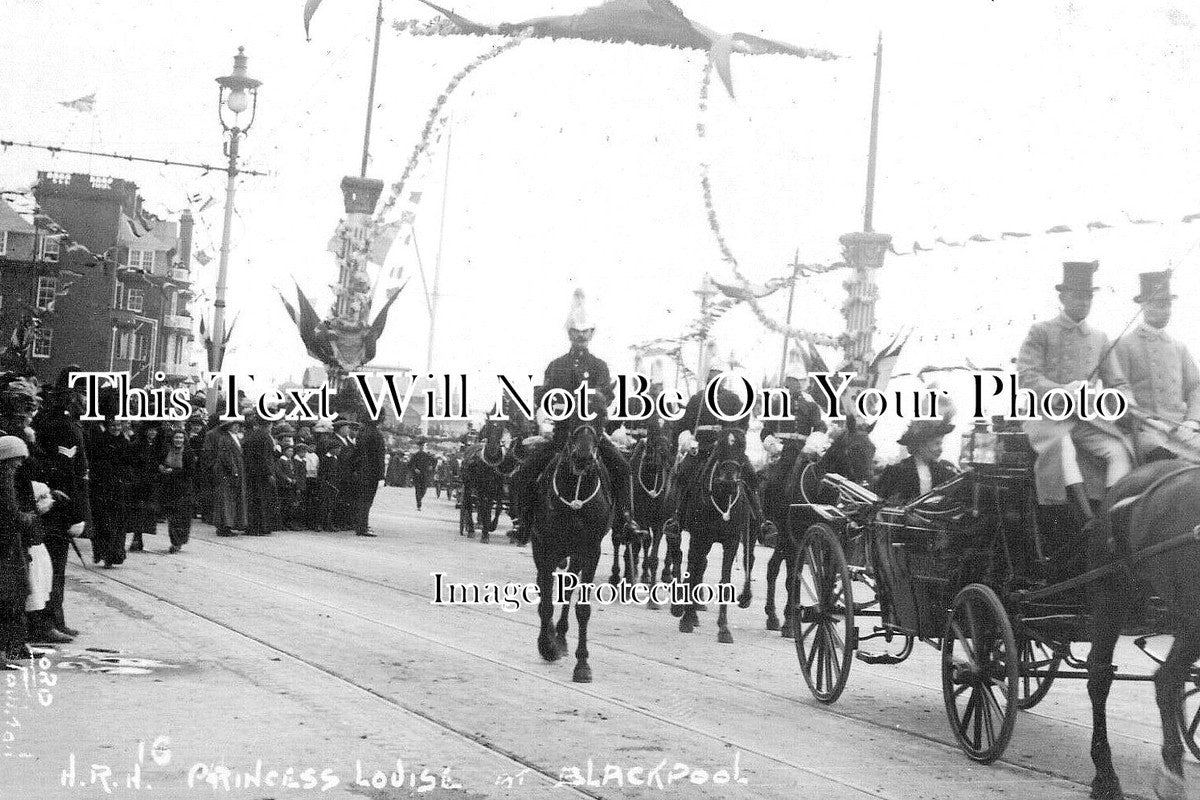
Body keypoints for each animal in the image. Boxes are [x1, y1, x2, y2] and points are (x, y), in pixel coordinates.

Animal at [532, 419, 614, 681]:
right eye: (574, 418)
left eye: (602, 419)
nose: (583, 456)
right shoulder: (545, 547)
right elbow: (546, 600)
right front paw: (546, 647)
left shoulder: (590, 552)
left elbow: (583, 608)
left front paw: (582, 664)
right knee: (545, 587)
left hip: (575, 556)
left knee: (567, 589)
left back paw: (560, 636)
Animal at [676, 424, 748, 642]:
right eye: (720, 446)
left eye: (742, 447)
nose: (729, 481)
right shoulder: (699, 537)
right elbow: (693, 573)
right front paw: (686, 620)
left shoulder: (731, 542)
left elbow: (725, 581)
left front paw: (724, 629)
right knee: (690, 564)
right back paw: (686, 612)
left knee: (699, 566)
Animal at [763, 419, 878, 638]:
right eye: (853, 449)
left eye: (873, 449)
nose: (867, 485)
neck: (818, 490)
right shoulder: (797, 540)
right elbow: (792, 579)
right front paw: (790, 622)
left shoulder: (826, 542)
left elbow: (826, 580)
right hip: (784, 538)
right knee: (774, 569)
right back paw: (773, 616)